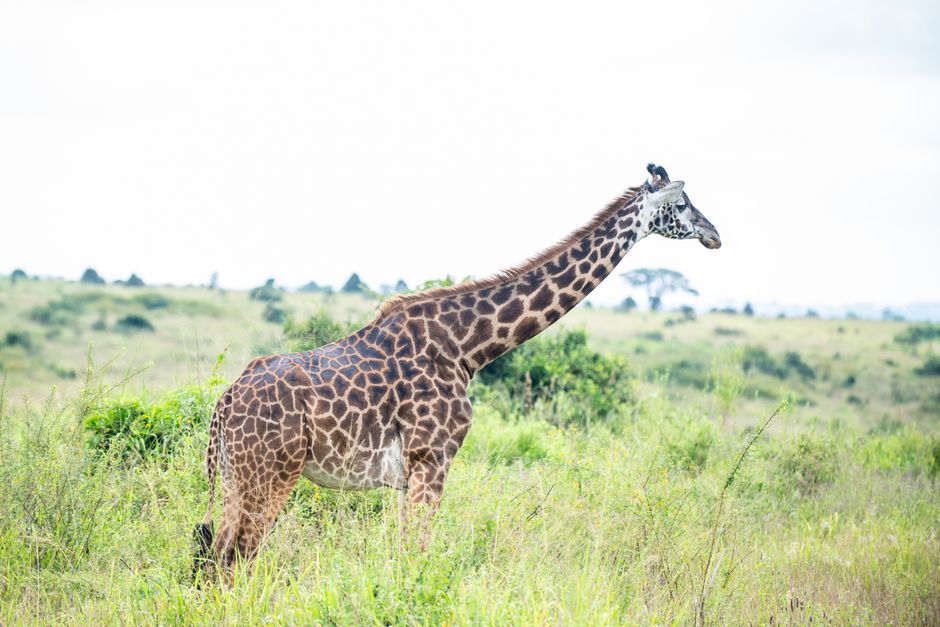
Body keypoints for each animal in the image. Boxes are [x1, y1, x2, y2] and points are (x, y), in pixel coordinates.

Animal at [194, 163, 721, 579]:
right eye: (683, 203)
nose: (715, 234)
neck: (468, 347)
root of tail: (225, 402)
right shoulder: (432, 458)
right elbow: (417, 553)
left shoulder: (410, 473)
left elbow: (405, 551)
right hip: (270, 473)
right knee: (236, 556)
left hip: (236, 475)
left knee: (217, 553)